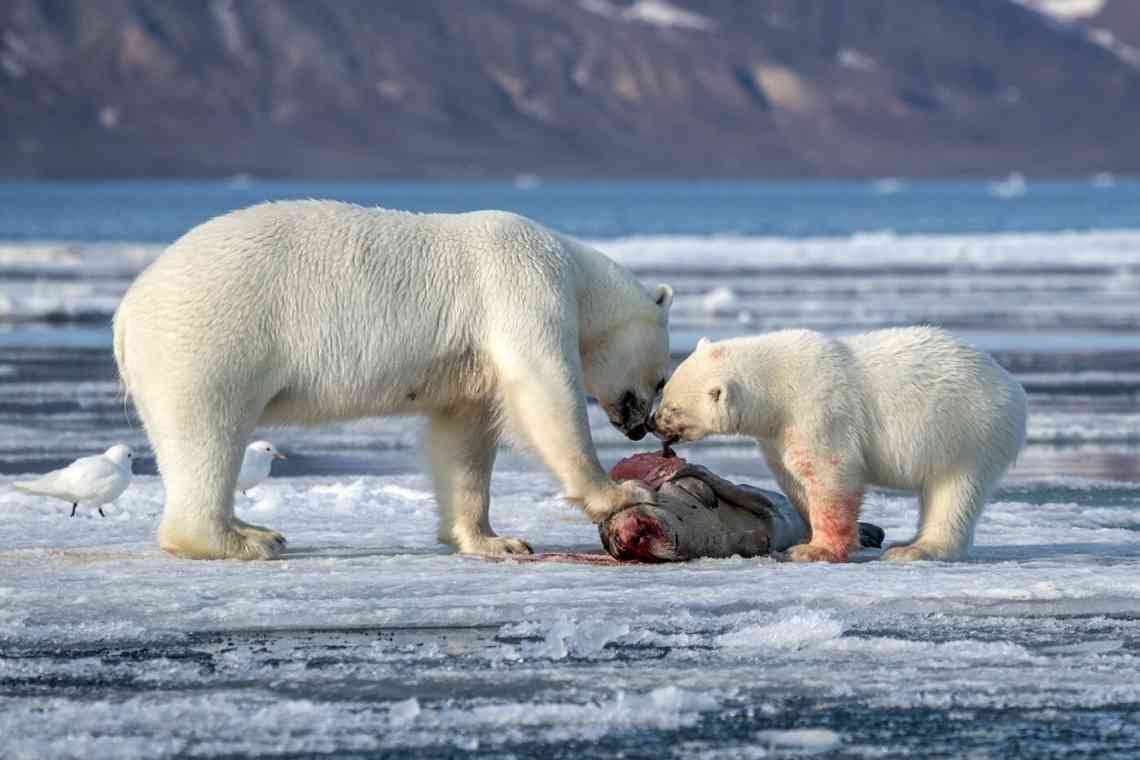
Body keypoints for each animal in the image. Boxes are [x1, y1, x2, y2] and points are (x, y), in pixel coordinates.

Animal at [114, 201, 665, 558]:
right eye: (660, 381)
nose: (643, 427)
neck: (573, 269)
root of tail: (126, 311)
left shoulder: (469, 363)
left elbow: (463, 436)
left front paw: (493, 539)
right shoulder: (524, 287)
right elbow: (545, 391)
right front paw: (622, 492)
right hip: (209, 339)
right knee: (208, 431)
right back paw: (249, 539)